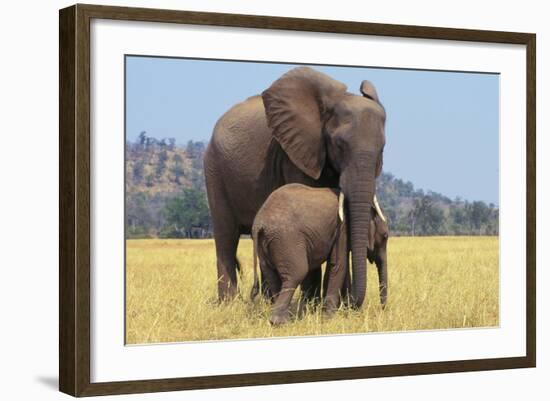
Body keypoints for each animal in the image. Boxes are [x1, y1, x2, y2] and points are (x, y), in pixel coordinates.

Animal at [204, 66, 388, 306]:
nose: (352, 304)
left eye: (382, 149)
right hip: (214, 170)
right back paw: (230, 304)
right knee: (226, 238)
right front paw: (312, 305)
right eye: (339, 145)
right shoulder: (295, 154)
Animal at [250, 183, 388, 324]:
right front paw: (328, 318)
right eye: (385, 236)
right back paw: (280, 322)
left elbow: (337, 268)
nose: (383, 309)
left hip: (266, 243)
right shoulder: (342, 228)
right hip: (287, 239)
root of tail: (258, 224)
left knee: (271, 275)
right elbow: (339, 265)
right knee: (296, 274)